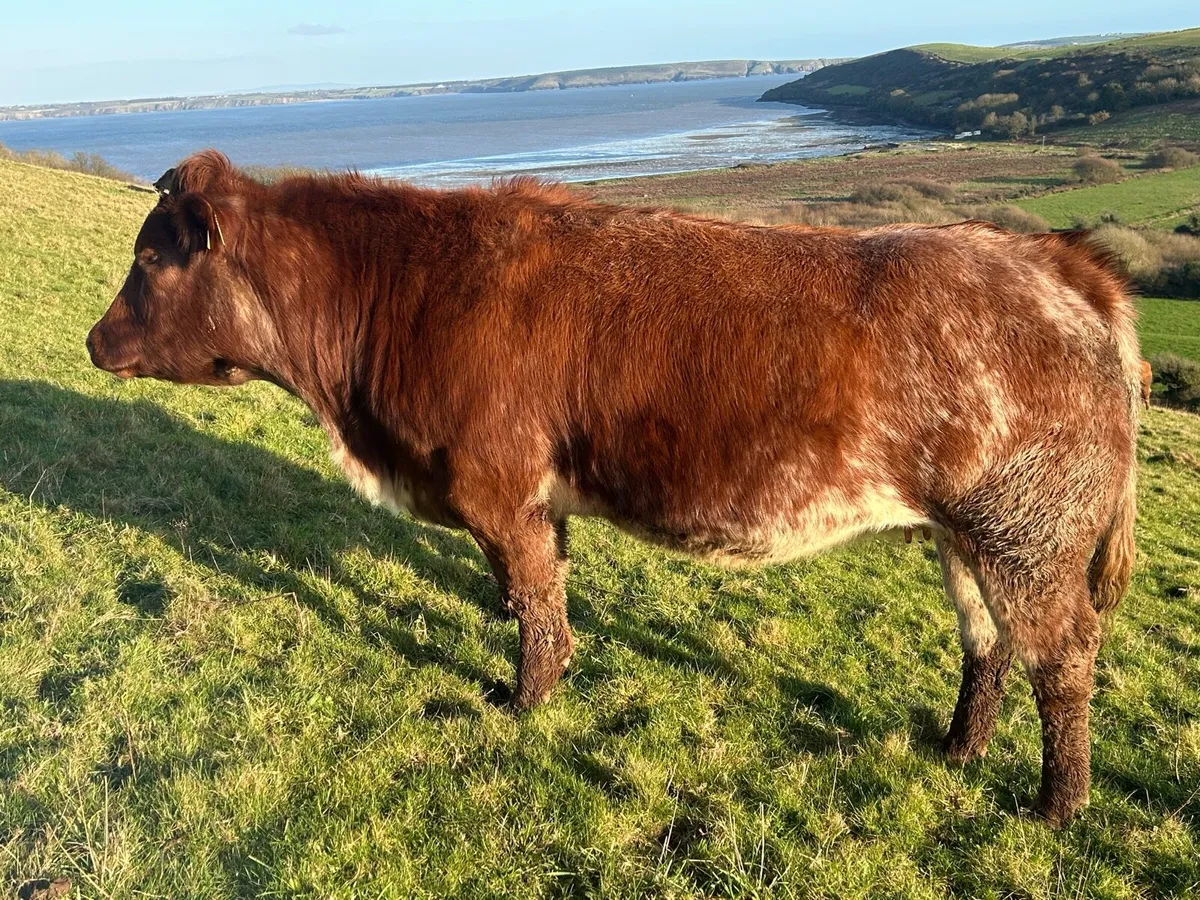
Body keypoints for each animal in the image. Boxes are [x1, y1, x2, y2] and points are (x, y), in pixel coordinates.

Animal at [87, 150, 1139, 827]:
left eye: (148, 259)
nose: (96, 341)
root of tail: (1052, 258)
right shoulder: (534, 504)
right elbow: (541, 594)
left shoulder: (497, 492)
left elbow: (532, 603)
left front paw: (523, 701)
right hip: (970, 538)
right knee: (987, 644)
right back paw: (960, 747)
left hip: (1027, 537)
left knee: (1063, 658)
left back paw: (1057, 806)